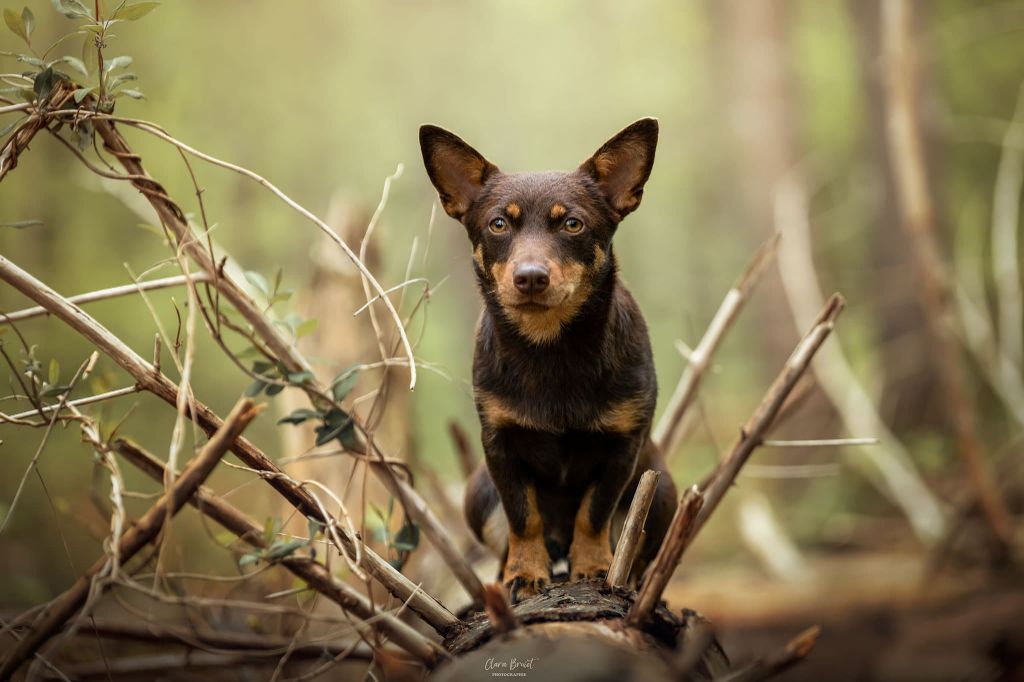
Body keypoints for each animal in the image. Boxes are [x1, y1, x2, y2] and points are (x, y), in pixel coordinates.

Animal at [419, 116, 675, 602]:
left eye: (572, 224)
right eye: (499, 224)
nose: (531, 277)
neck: (551, 348)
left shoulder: (623, 447)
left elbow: (594, 513)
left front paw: (593, 567)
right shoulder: (499, 447)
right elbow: (524, 517)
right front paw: (524, 573)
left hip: (663, 492)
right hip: (477, 490)